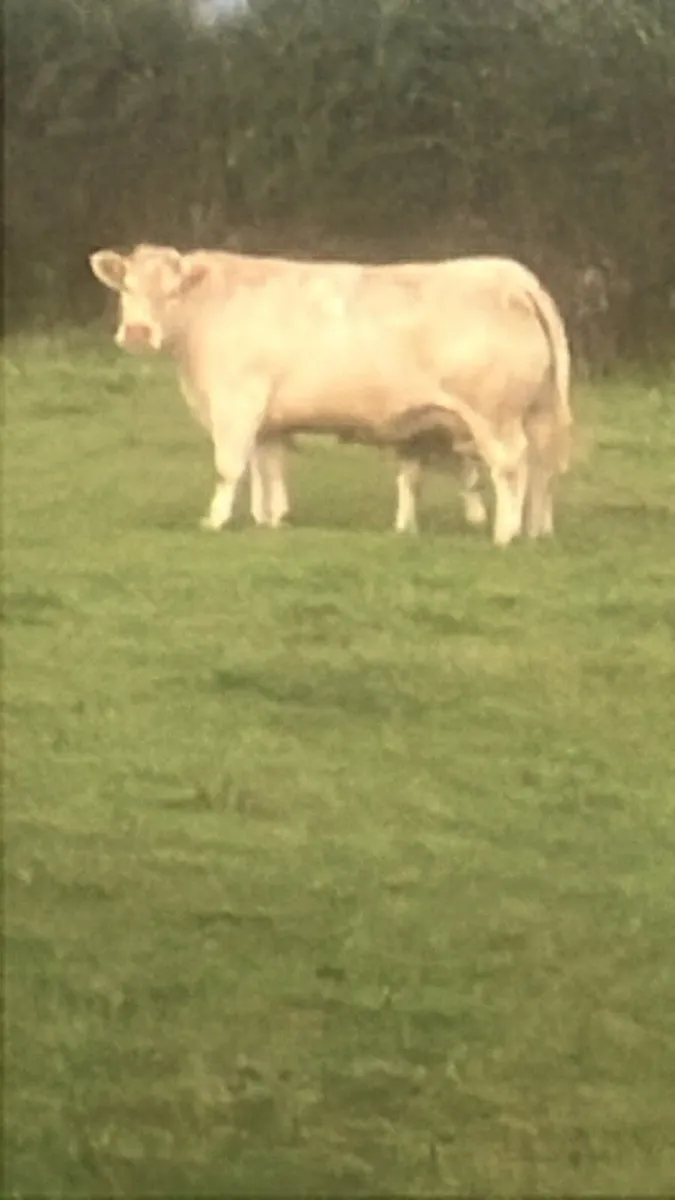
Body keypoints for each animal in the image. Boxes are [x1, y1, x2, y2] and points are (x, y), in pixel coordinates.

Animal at [89, 243, 572, 545]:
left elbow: (229, 467)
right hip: (539, 411)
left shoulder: (236, 403)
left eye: (171, 291)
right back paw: (538, 531)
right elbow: (268, 470)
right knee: (543, 469)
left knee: (511, 465)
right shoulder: (269, 420)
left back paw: (506, 534)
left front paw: (215, 521)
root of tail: (508, 273)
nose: (137, 332)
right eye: (127, 287)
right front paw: (270, 521)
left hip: (494, 415)